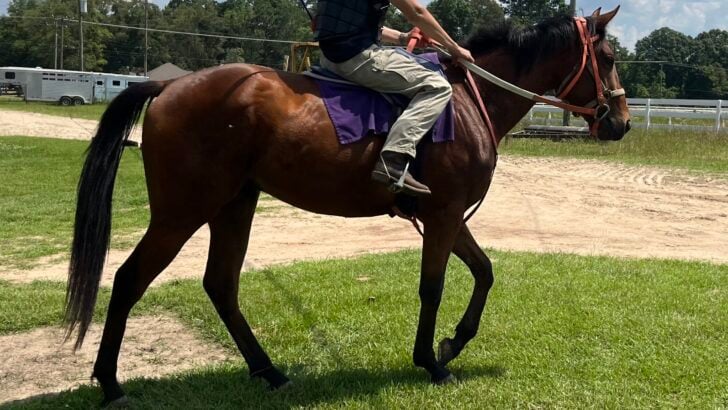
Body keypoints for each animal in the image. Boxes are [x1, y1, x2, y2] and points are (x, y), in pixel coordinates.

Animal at [65, 8, 630, 405]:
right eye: (607, 59)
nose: (621, 121)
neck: (470, 99)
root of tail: (169, 84)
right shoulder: (444, 216)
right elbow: (433, 288)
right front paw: (432, 361)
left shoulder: (445, 216)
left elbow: (485, 272)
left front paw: (451, 344)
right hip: (182, 212)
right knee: (129, 280)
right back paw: (110, 383)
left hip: (233, 206)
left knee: (221, 285)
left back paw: (269, 372)